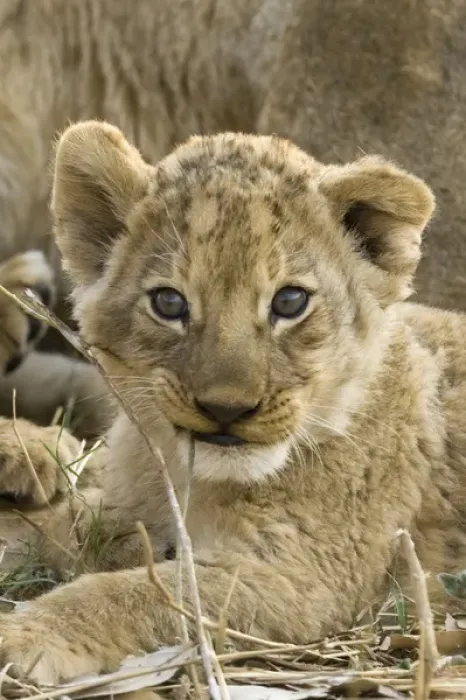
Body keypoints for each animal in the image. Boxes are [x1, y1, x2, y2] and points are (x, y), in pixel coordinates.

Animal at [0, 121, 465, 685]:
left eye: (289, 302)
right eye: (169, 303)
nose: (227, 409)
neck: (192, 478)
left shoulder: (302, 577)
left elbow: (142, 593)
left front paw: (24, 634)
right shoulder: (122, 508)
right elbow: (41, 526)